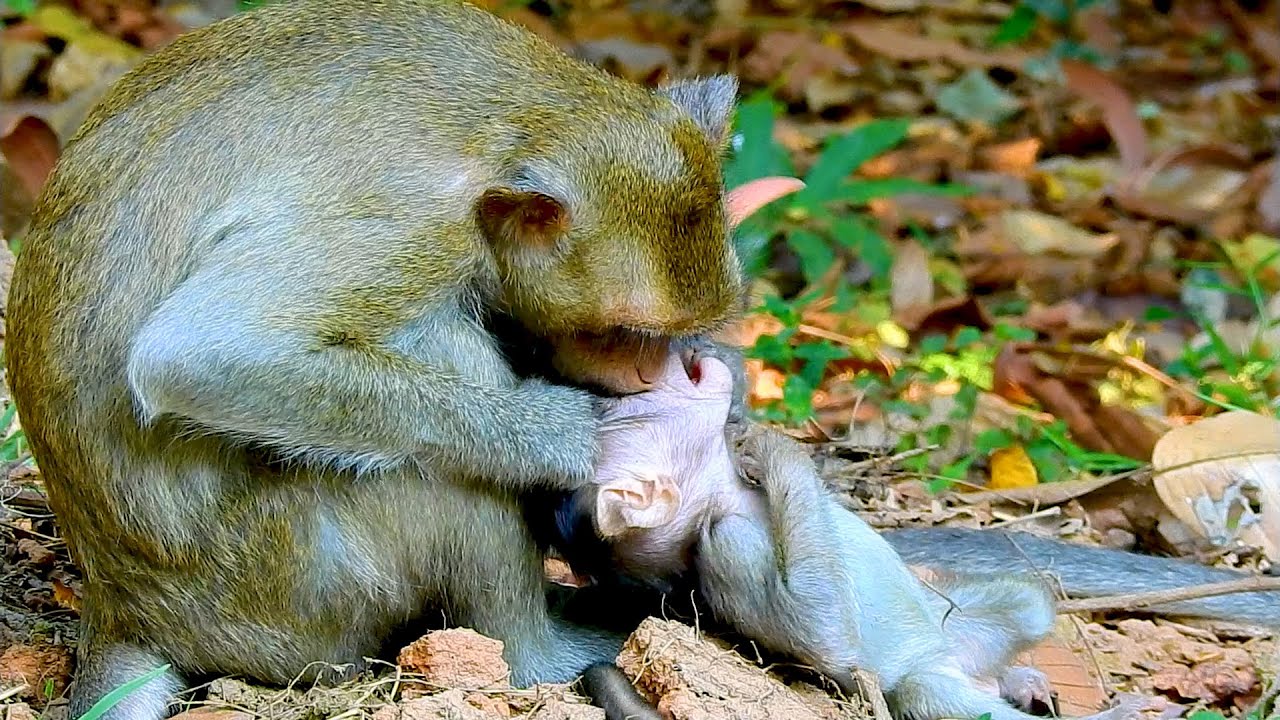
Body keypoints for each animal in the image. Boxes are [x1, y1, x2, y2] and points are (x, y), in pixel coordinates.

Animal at [1, 1, 817, 717]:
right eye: (623, 331)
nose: (657, 371)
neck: (519, 121)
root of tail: (123, 610)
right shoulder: (410, 219)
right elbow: (199, 353)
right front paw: (562, 434)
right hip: (294, 588)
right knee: (440, 414)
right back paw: (540, 647)